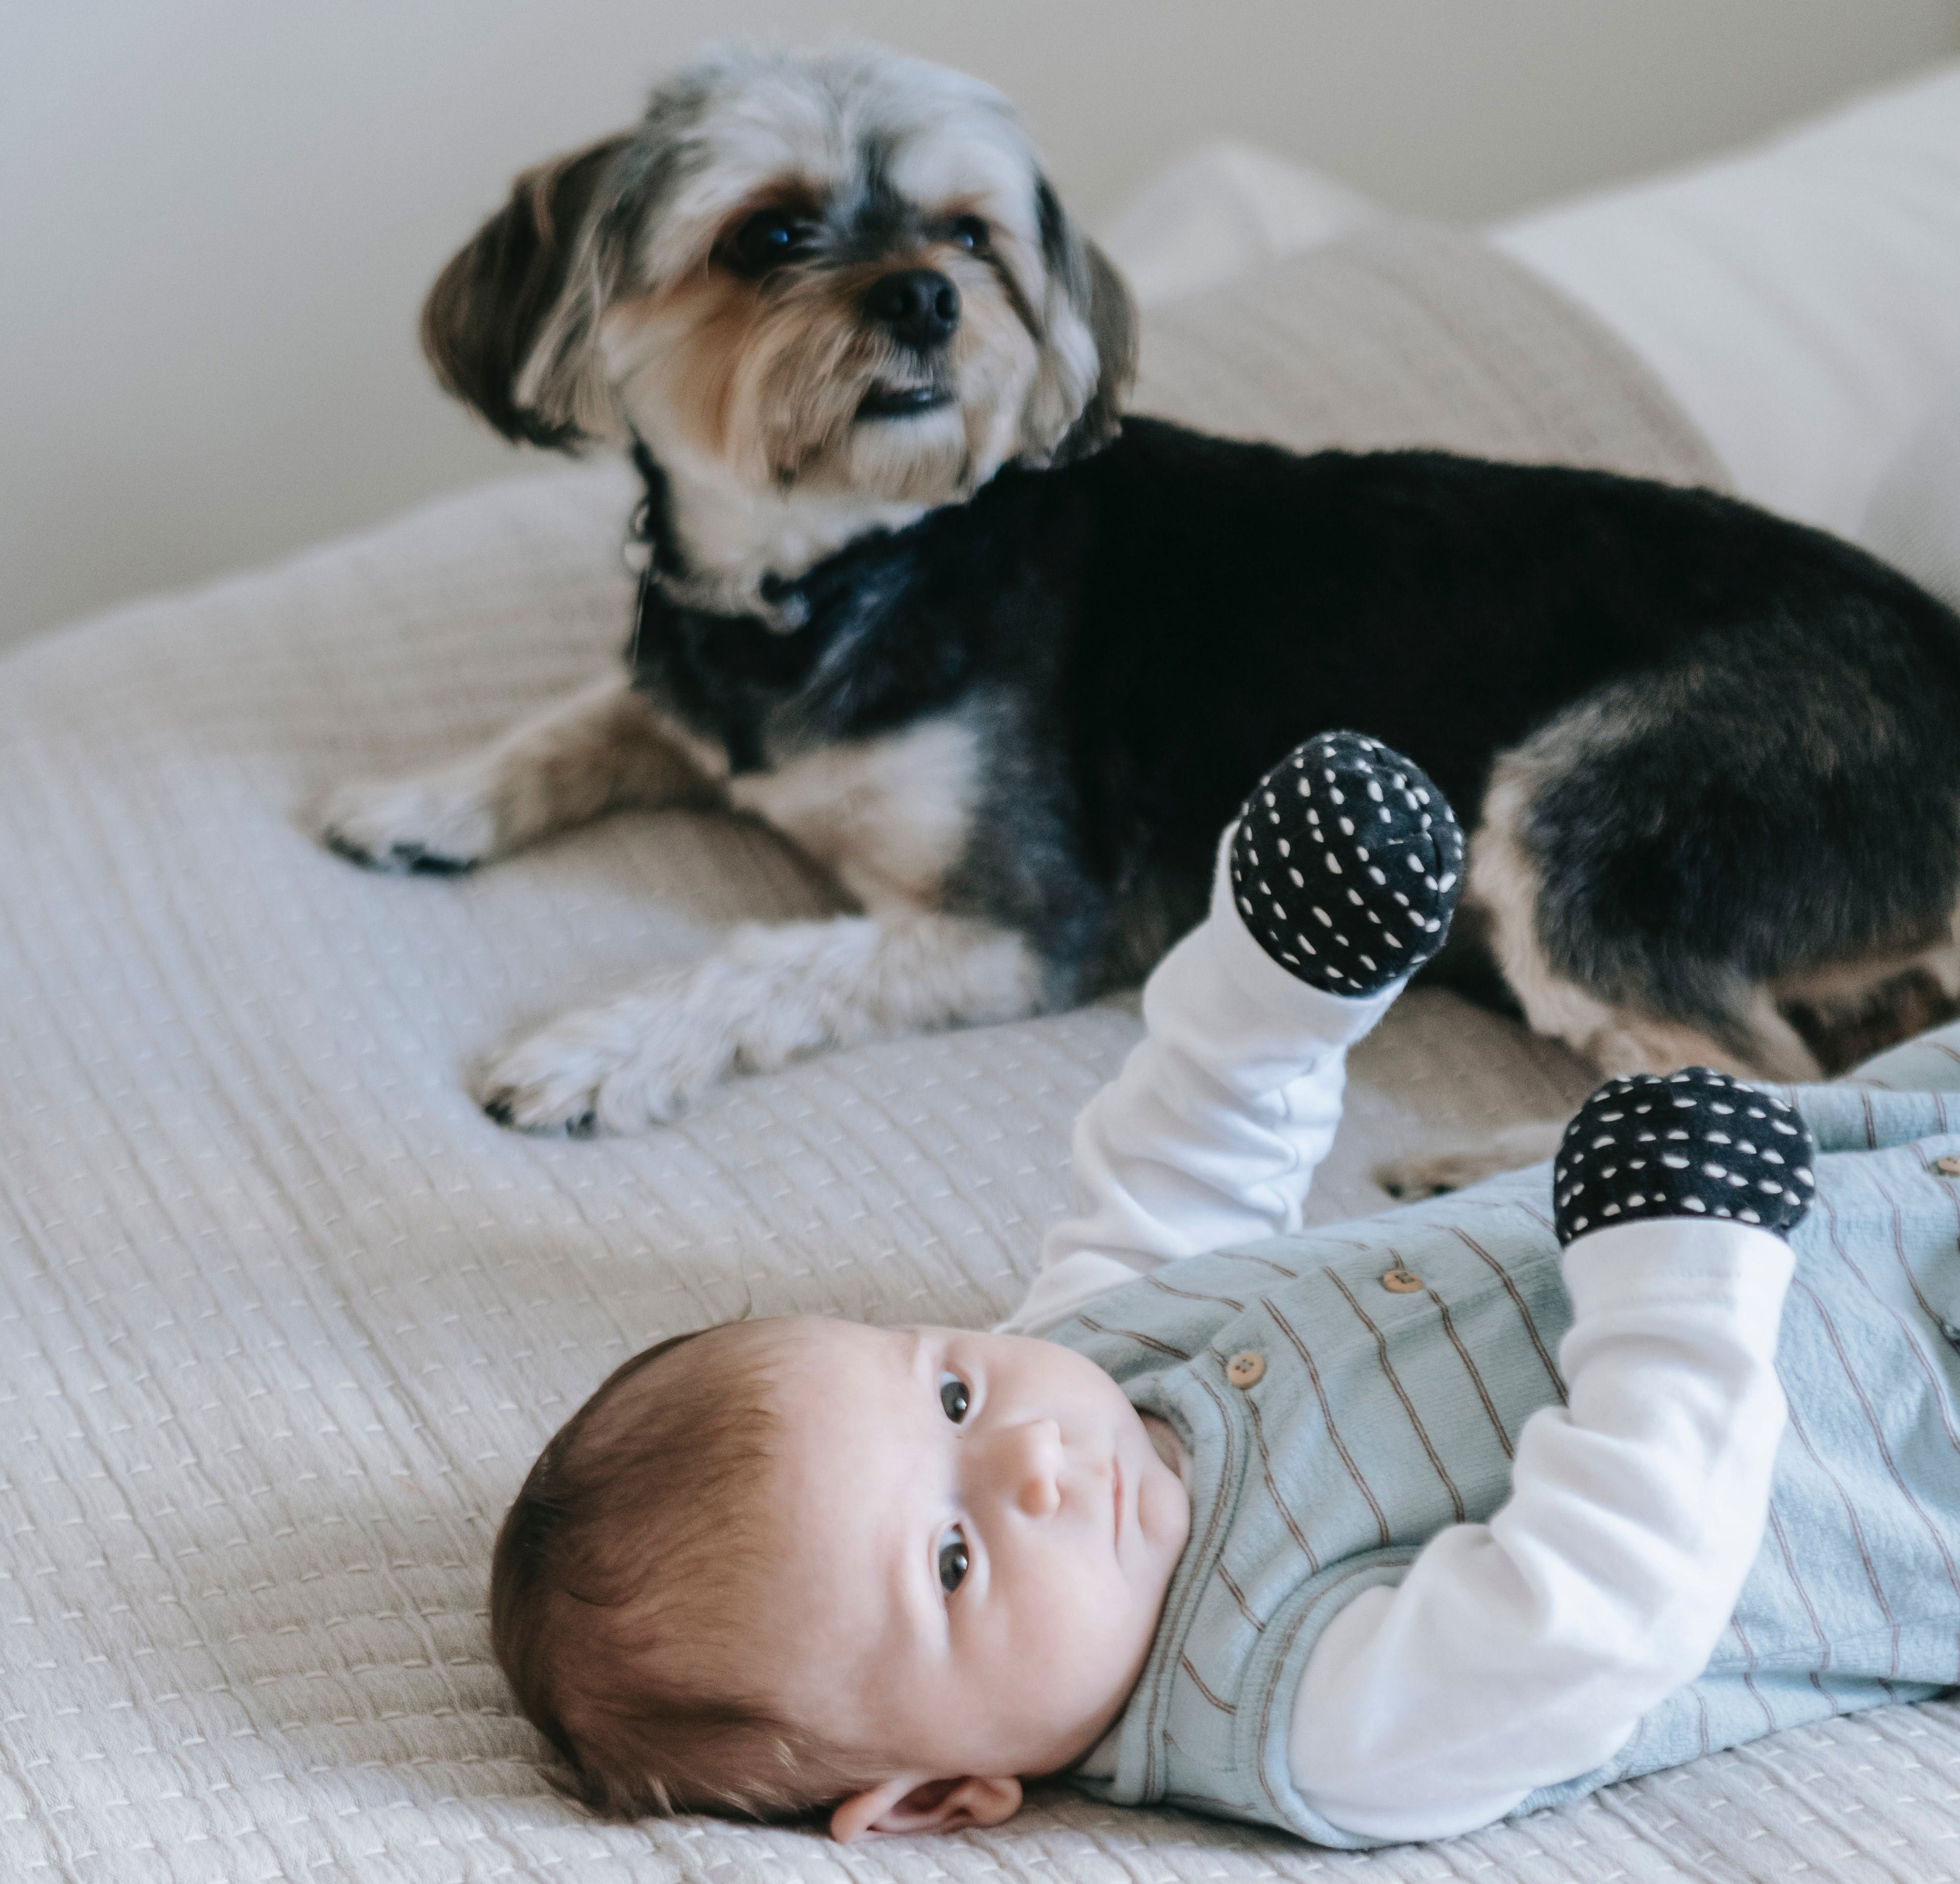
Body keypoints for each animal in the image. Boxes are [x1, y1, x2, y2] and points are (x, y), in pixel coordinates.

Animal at [321, 48, 1960, 1145]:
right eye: (769, 233)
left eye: (967, 232)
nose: (927, 297)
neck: (839, 568)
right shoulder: (690, 682)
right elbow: (581, 715)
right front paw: (420, 800)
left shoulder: (1022, 919)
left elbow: (771, 959)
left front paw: (596, 1049)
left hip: (1611, 812)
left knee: (1774, 1090)